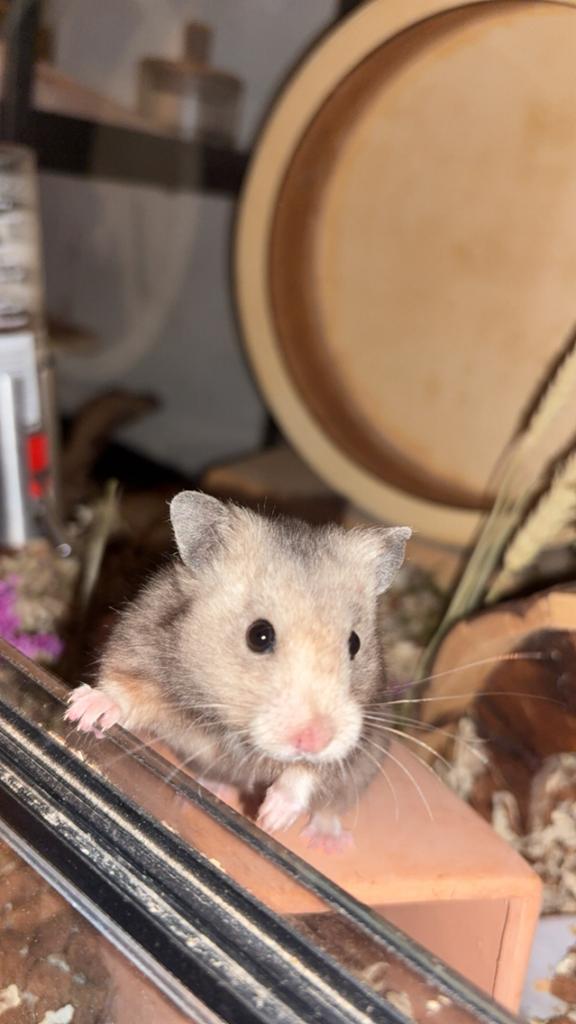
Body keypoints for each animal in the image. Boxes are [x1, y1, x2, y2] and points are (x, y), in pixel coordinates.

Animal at [65, 491, 411, 852]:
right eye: (259, 635)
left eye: (354, 643)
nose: (316, 739)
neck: (230, 727)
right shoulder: (140, 649)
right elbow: (124, 691)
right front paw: (81, 711)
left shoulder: (362, 732)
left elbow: (309, 772)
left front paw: (271, 818)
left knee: (330, 808)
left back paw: (326, 842)